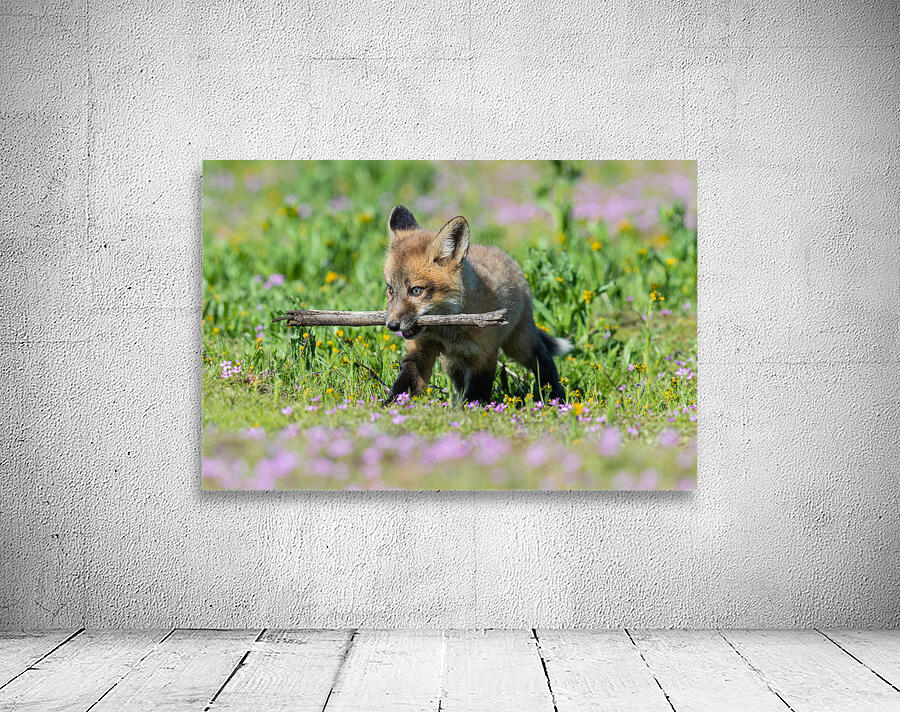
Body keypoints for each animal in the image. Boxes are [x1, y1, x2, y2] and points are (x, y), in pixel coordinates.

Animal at [382, 204, 571, 405]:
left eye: (416, 290)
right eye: (390, 289)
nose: (392, 325)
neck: (448, 331)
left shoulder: (484, 356)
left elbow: (477, 394)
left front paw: (471, 410)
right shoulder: (422, 349)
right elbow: (405, 384)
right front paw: (388, 405)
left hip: (519, 345)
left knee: (543, 359)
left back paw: (555, 395)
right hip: (451, 363)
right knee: (459, 384)